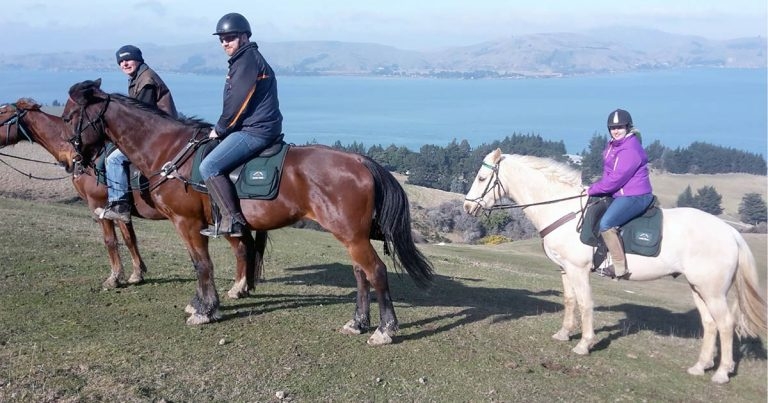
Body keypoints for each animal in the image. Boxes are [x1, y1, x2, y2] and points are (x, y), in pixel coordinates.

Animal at [0, 98, 266, 297]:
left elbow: (110, 241)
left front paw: (114, 278)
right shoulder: (120, 209)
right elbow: (130, 239)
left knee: (241, 247)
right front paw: (137, 273)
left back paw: (238, 286)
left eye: (2, 112)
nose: (73, 160)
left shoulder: (98, 206)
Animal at [63, 79, 434, 345]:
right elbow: (203, 263)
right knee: (361, 274)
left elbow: (201, 265)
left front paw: (205, 310)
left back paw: (385, 329)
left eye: (69, 117)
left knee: (376, 272)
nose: (74, 161)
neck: (170, 150)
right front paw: (203, 303)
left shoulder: (187, 223)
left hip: (352, 235)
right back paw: (357, 323)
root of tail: (360, 161)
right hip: (349, 234)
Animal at [463, 148, 766, 383]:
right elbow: (570, 301)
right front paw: (564, 334)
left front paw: (584, 344)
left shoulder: (578, 270)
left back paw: (721, 373)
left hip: (712, 290)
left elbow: (585, 304)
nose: (467, 207)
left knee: (725, 324)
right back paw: (700, 367)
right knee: (710, 324)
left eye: (481, 178)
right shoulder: (565, 270)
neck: (563, 210)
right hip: (698, 287)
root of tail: (731, 233)